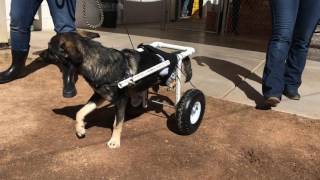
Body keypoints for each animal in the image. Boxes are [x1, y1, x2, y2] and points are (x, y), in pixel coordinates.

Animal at [41, 31, 191, 148]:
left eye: (50, 48)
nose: (39, 55)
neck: (98, 63)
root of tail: (167, 54)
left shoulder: (120, 100)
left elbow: (117, 123)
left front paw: (114, 141)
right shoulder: (100, 95)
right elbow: (80, 111)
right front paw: (80, 129)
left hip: (165, 75)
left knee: (172, 77)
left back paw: (171, 85)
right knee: (143, 91)